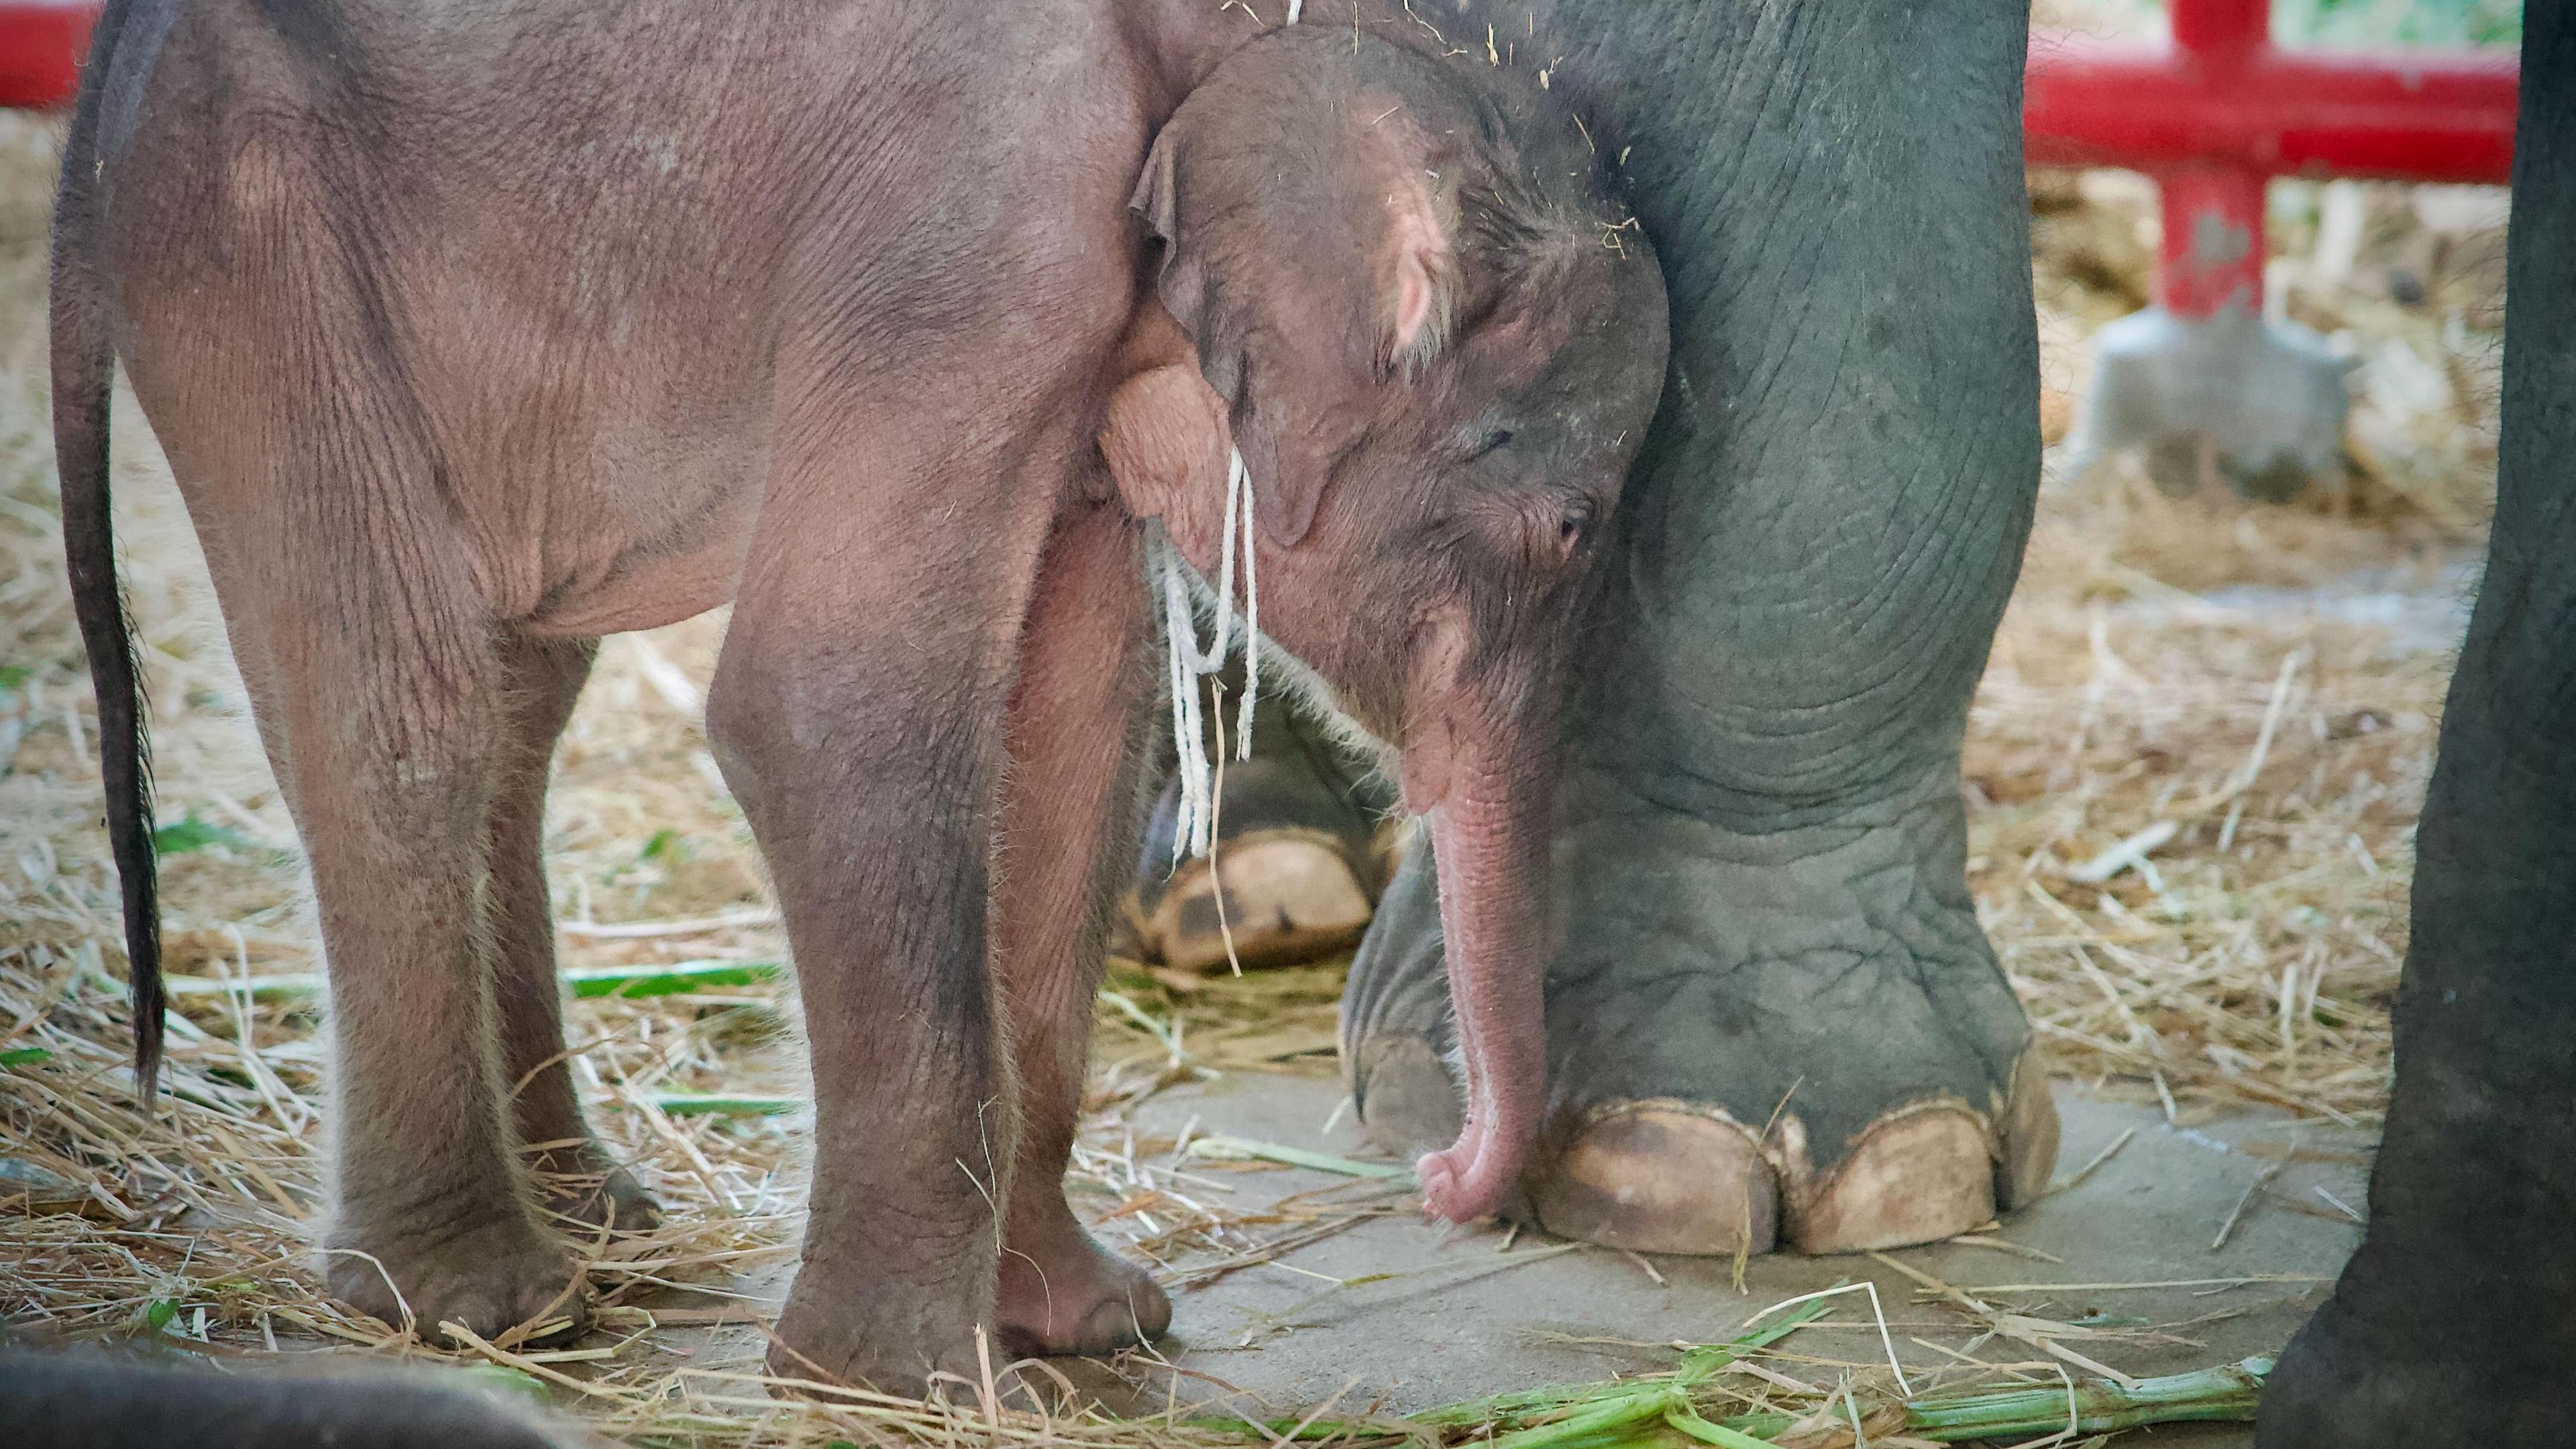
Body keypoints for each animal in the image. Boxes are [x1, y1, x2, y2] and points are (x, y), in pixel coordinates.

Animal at [60, 0, 1679, 1392]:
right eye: (1573, 528)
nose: (1436, 1176)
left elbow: (1065, 741)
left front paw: (1086, 1324)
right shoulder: (973, 232)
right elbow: (825, 699)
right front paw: (911, 1380)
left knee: (520, 689)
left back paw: (594, 1215)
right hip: (247, 220)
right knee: (403, 700)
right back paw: (478, 1303)